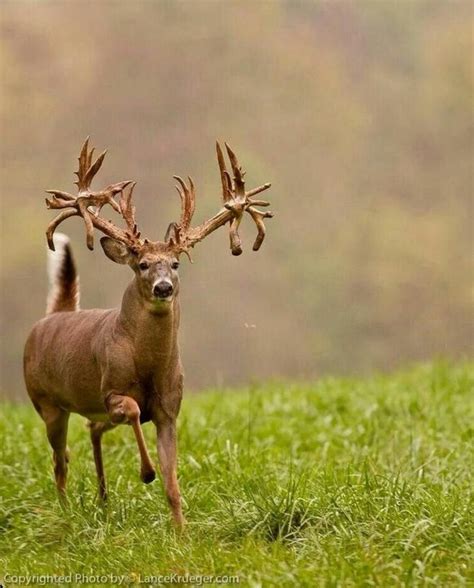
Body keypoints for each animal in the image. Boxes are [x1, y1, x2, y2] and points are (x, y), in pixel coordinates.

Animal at [23, 139, 274, 528]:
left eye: (174, 263)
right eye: (142, 264)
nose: (163, 287)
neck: (147, 364)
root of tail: (55, 315)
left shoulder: (170, 409)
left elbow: (173, 483)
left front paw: (181, 532)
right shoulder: (110, 390)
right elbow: (131, 410)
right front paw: (146, 471)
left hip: (83, 411)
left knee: (90, 430)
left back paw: (103, 500)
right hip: (46, 402)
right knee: (60, 460)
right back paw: (66, 514)